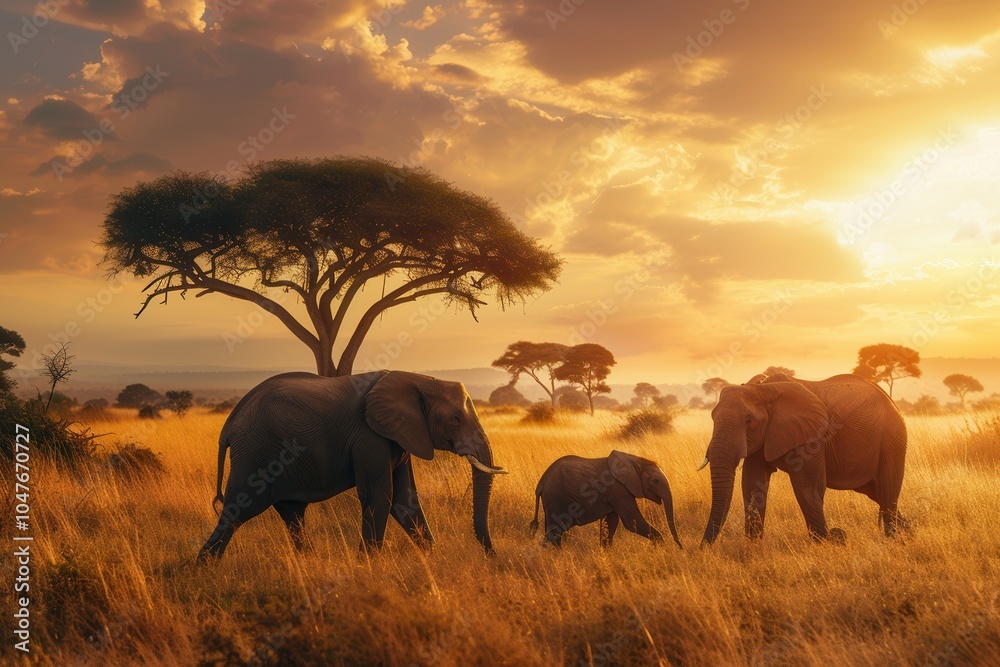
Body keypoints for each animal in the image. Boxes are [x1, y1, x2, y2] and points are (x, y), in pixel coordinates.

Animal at [197, 370, 508, 560]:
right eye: (455, 419)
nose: (492, 556)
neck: (417, 378)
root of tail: (230, 426)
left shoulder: (400, 435)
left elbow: (405, 500)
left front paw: (433, 557)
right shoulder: (369, 437)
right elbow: (380, 496)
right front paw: (368, 567)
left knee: (292, 514)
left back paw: (310, 563)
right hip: (256, 454)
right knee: (238, 511)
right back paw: (203, 569)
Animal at [529, 450, 682, 548]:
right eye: (656, 481)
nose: (681, 547)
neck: (634, 459)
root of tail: (540, 484)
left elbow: (611, 522)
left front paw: (606, 553)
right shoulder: (619, 490)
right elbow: (632, 522)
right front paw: (661, 547)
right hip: (557, 499)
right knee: (555, 532)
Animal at [699, 372, 908, 545]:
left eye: (749, 422)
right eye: (712, 418)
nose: (702, 549)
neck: (761, 389)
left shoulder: (812, 437)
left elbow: (807, 488)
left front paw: (823, 544)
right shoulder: (761, 439)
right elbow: (752, 485)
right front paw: (754, 547)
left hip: (892, 441)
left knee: (887, 494)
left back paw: (893, 540)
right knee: (878, 494)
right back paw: (908, 530)